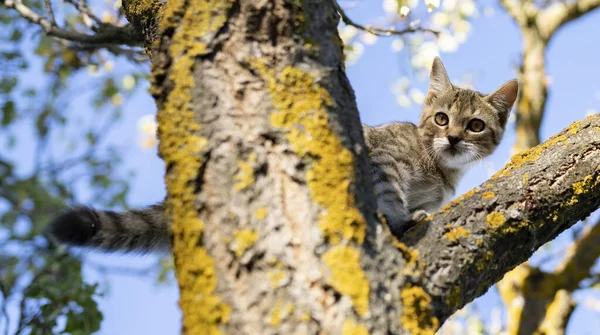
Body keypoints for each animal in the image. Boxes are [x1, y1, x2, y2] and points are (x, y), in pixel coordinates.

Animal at [47, 57, 516, 252]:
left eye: (474, 126)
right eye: (441, 119)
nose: (452, 138)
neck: (437, 169)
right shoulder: (385, 161)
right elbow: (390, 196)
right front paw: (402, 219)